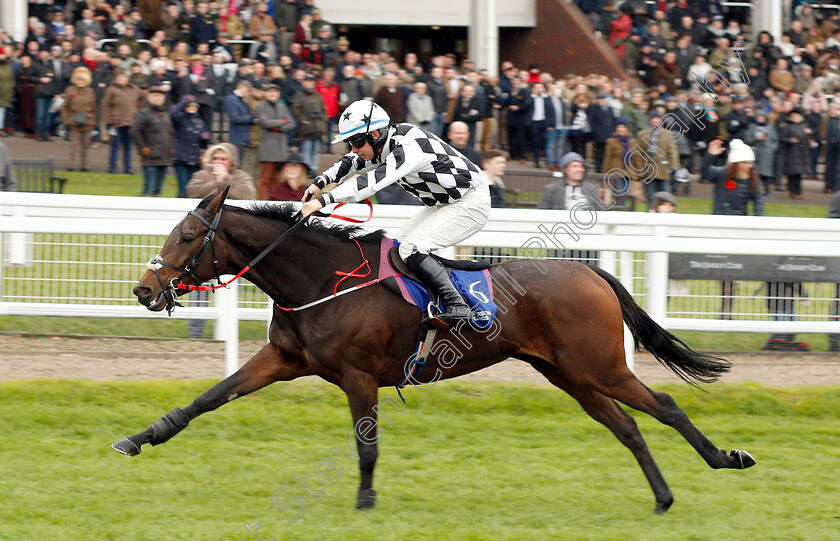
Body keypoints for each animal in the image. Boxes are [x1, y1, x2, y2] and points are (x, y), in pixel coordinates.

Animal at [113, 189, 756, 510]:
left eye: (188, 236)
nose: (144, 289)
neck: (323, 279)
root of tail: (591, 271)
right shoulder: (284, 360)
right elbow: (207, 399)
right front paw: (139, 438)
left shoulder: (358, 375)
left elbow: (366, 445)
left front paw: (365, 500)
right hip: (570, 375)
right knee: (627, 426)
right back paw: (663, 496)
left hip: (598, 364)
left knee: (664, 406)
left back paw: (726, 460)